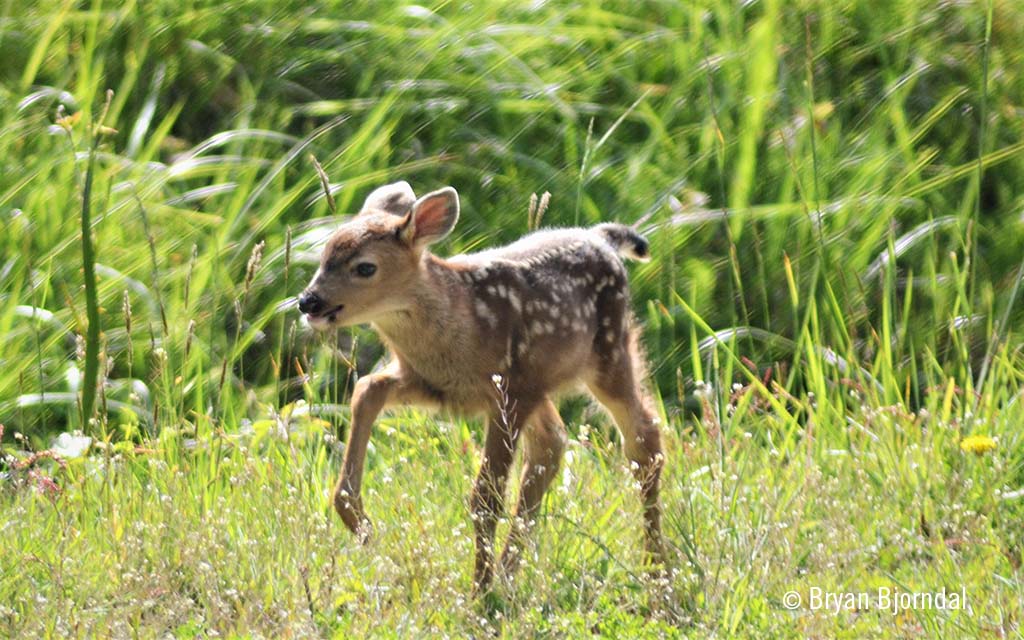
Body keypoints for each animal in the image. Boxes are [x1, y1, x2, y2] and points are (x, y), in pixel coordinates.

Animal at [298, 181, 665, 592]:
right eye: (325, 255)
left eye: (365, 267)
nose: (308, 301)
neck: (463, 321)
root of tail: (602, 237)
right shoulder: (433, 383)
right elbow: (366, 387)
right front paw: (359, 522)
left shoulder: (506, 392)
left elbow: (485, 499)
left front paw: (480, 592)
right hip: (540, 383)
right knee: (553, 443)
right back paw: (509, 574)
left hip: (608, 351)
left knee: (643, 438)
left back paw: (657, 575)